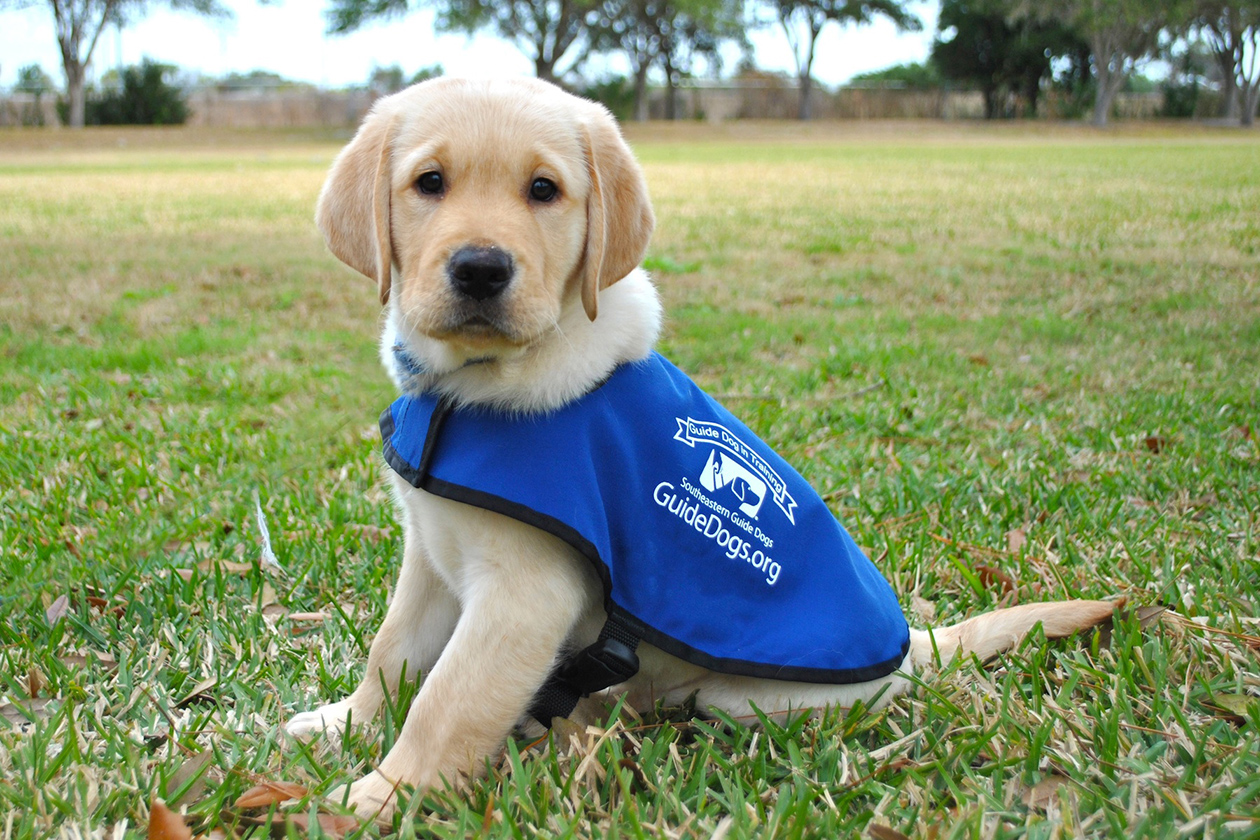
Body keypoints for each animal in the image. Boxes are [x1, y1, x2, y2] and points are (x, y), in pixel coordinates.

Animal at [286, 75, 1113, 816]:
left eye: (544, 191)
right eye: (428, 182)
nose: (481, 268)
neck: (473, 390)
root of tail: (915, 646)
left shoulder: (524, 598)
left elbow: (445, 704)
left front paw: (376, 800)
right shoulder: (431, 553)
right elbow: (393, 653)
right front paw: (344, 724)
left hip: (743, 696)